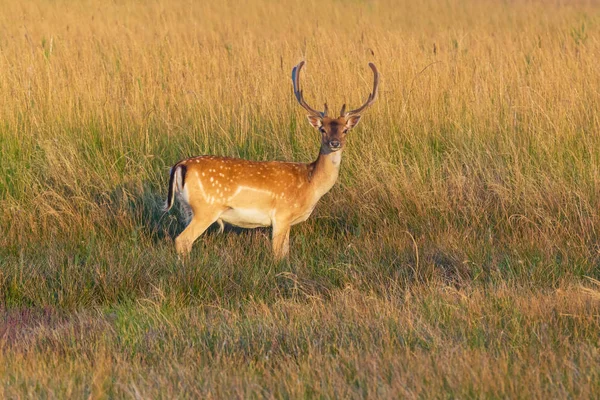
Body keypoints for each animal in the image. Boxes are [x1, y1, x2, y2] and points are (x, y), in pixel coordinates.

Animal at [164, 59, 380, 260]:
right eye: (322, 129)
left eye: (345, 130)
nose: (335, 143)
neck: (310, 185)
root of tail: (180, 165)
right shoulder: (282, 215)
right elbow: (278, 254)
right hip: (206, 208)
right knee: (182, 240)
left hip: (188, 209)